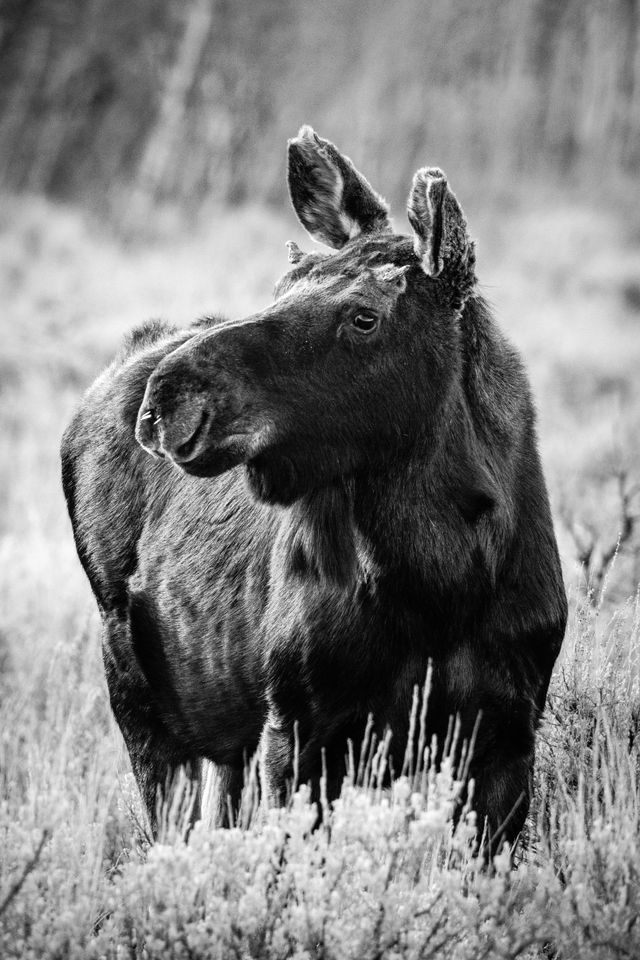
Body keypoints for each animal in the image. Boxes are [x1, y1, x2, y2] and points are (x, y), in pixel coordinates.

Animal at [62, 127, 568, 856]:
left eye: (364, 317)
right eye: (280, 287)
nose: (169, 398)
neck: (442, 580)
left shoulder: (506, 734)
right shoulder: (299, 729)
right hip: (136, 689)